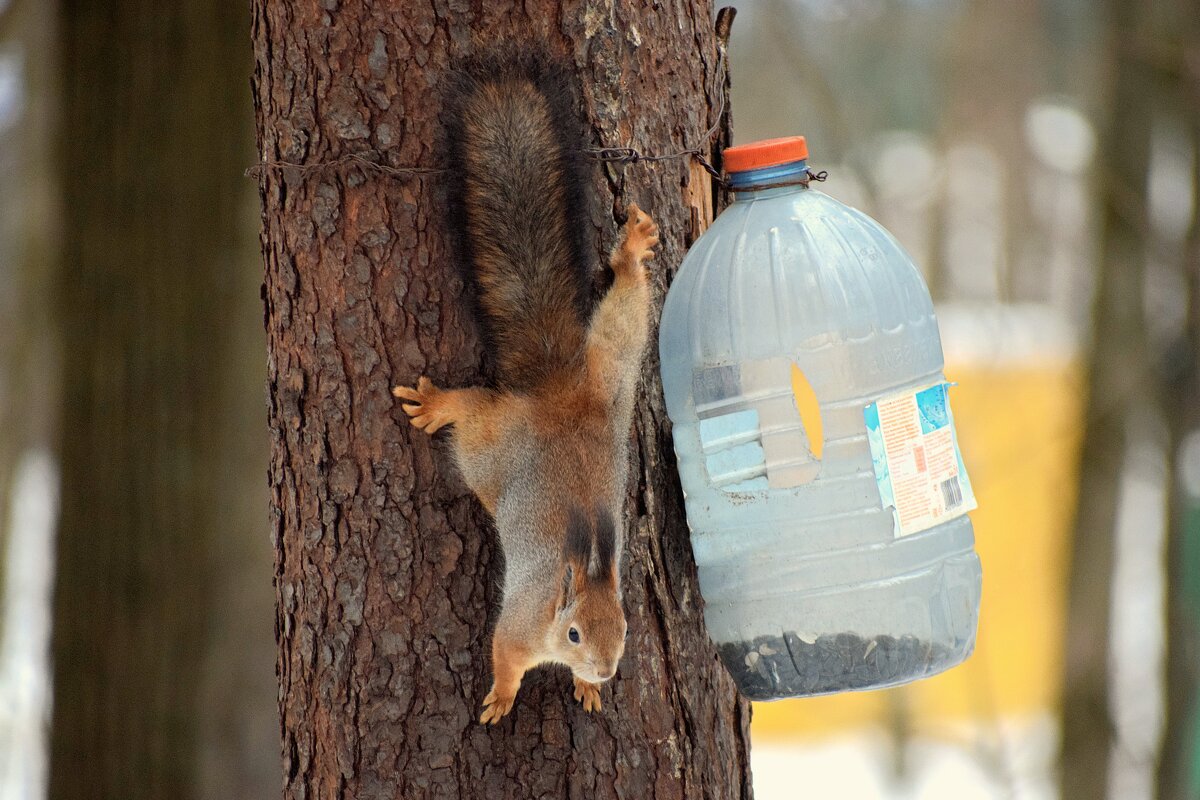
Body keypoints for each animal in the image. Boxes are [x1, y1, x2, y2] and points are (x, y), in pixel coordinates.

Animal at [391, 64, 657, 724]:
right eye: (574, 634)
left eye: (625, 631)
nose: (606, 669)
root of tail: (558, 393)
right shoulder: (517, 627)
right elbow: (505, 658)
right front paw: (502, 699)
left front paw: (586, 689)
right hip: (493, 446)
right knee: (472, 412)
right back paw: (437, 405)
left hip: (615, 371)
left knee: (626, 309)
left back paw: (632, 253)